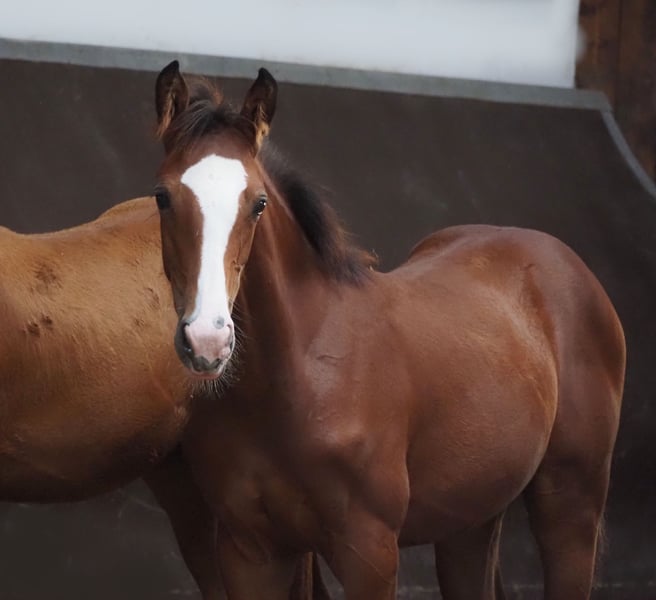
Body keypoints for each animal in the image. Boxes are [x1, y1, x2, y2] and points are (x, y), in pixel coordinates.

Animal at [153, 61, 626, 600]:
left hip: (571, 505)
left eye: (258, 204)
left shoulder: (370, 551)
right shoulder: (251, 552)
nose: (207, 342)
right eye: (163, 197)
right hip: (469, 520)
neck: (297, 380)